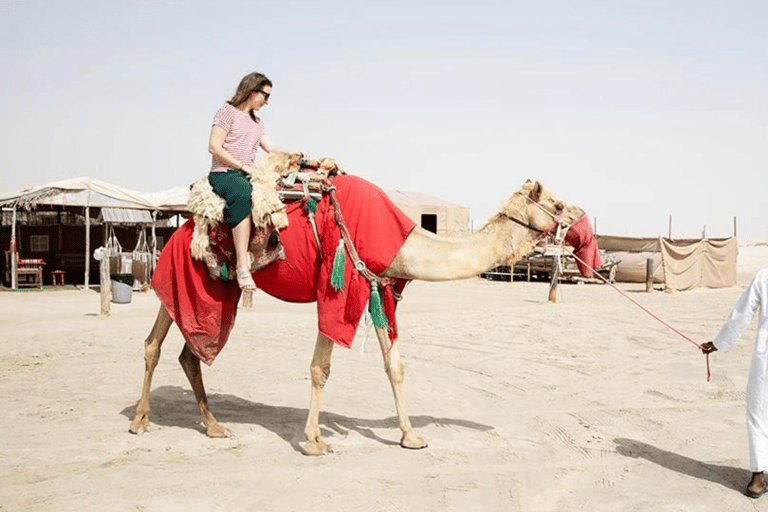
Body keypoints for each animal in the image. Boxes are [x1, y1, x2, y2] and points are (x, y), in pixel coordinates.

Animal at [127, 177, 584, 456]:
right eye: (557, 203)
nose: (580, 217)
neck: (402, 241)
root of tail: (183, 227)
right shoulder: (338, 285)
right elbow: (321, 367)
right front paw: (314, 441)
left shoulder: (376, 287)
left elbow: (394, 364)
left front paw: (411, 437)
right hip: (186, 276)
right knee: (153, 344)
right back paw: (139, 422)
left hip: (218, 293)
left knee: (190, 352)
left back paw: (214, 426)